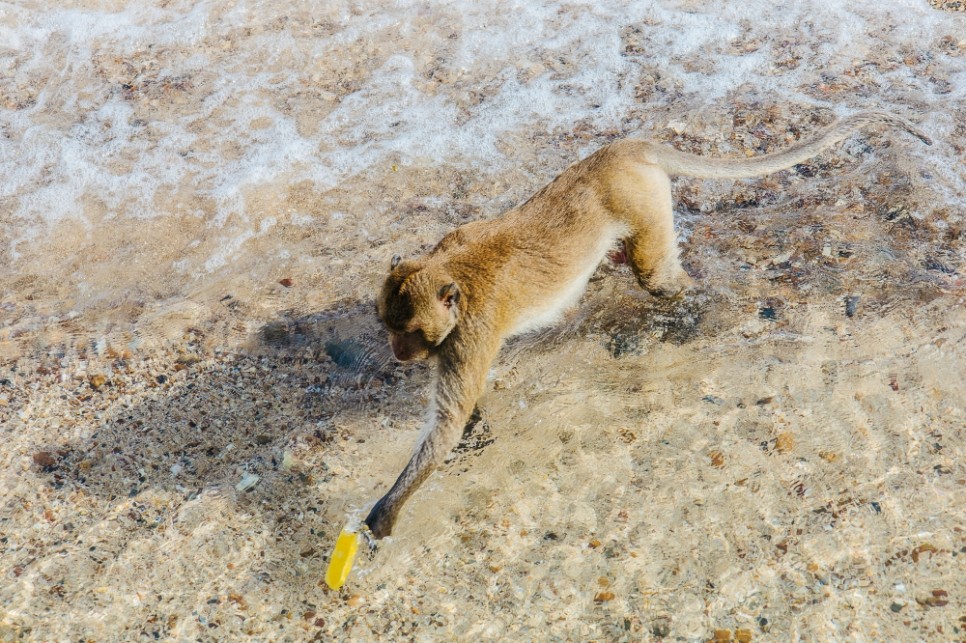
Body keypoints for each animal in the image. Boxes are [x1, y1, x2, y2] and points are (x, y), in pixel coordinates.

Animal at [362, 110, 932, 540]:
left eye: (408, 332)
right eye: (387, 327)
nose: (396, 354)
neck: (450, 269)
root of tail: (627, 150)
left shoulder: (470, 332)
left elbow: (447, 422)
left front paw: (384, 512)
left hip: (640, 199)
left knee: (655, 276)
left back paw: (696, 308)